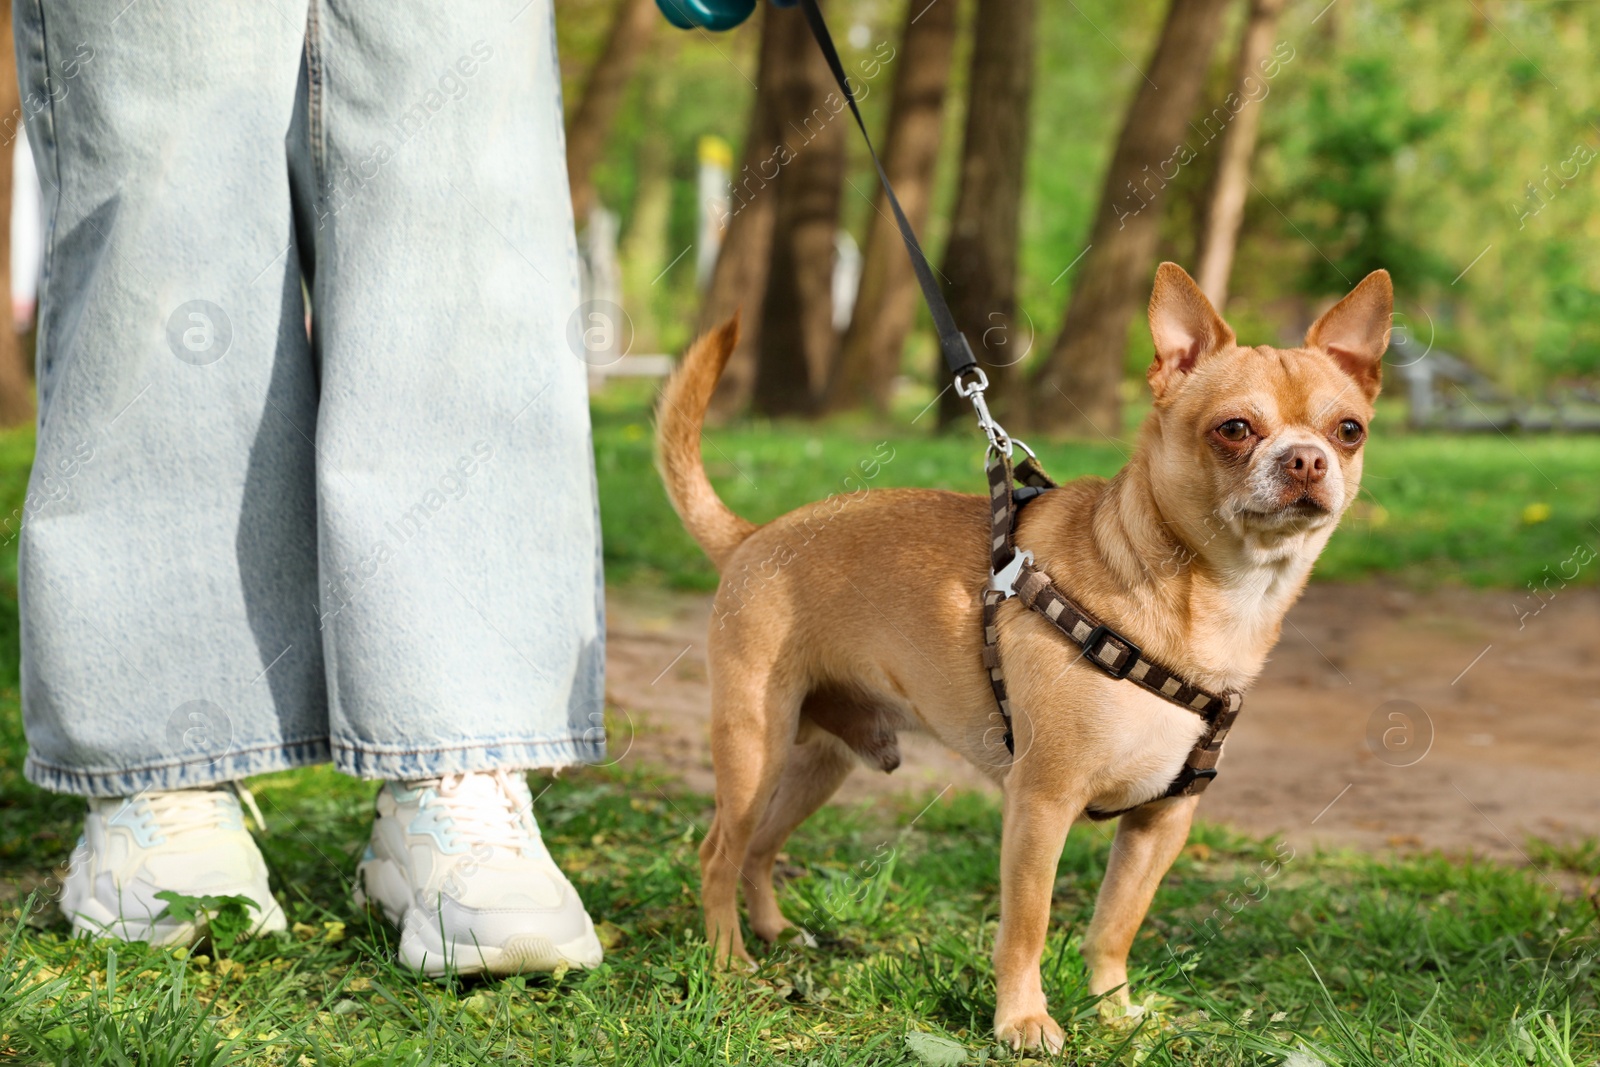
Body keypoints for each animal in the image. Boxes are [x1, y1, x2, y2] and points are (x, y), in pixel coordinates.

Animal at [649, 260, 1388, 1049]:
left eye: (1349, 431)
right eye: (1234, 429)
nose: (1308, 458)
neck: (1213, 600)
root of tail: (752, 536)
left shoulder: (1160, 822)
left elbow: (1115, 925)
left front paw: (1114, 1010)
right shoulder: (1042, 803)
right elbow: (1027, 926)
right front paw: (1023, 1019)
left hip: (821, 763)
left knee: (759, 848)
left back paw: (774, 931)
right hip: (753, 749)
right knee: (719, 852)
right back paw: (729, 960)